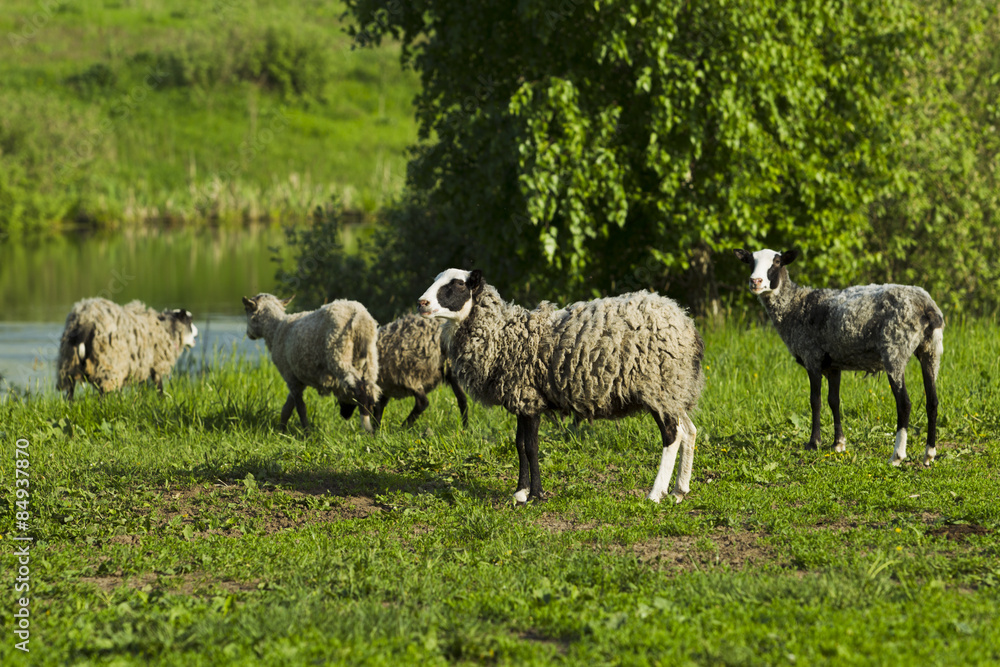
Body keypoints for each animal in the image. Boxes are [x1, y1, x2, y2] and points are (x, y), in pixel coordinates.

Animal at [57, 298, 198, 398]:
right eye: (190, 321)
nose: (197, 332)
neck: (166, 328)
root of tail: (86, 319)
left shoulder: (139, 365)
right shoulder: (155, 363)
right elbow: (159, 387)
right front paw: (162, 401)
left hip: (69, 363)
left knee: (70, 392)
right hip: (108, 364)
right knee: (102, 393)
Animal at [242, 294, 380, 433]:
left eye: (246, 310)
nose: (248, 334)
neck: (275, 329)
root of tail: (359, 315)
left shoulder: (289, 375)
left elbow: (300, 408)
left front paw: (306, 433)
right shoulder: (298, 379)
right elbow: (287, 408)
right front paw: (282, 430)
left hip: (339, 353)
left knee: (360, 390)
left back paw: (367, 428)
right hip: (370, 360)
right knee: (370, 392)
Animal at [418, 269, 705, 504]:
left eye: (456, 285)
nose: (421, 303)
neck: (504, 334)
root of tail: (686, 324)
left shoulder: (528, 398)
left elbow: (531, 447)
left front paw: (535, 495)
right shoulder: (523, 398)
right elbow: (519, 444)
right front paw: (519, 493)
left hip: (657, 385)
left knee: (672, 435)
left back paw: (655, 494)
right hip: (674, 388)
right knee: (689, 431)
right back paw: (679, 491)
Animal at [734, 248, 944, 466]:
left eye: (776, 262)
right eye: (750, 261)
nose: (755, 281)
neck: (795, 305)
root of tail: (927, 307)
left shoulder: (812, 357)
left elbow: (815, 400)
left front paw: (813, 443)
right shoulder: (834, 364)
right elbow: (834, 400)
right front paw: (838, 444)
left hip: (895, 349)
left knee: (904, 404)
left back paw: (897, 455)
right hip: (931, 350)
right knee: (932, 402)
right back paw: (929, 453)